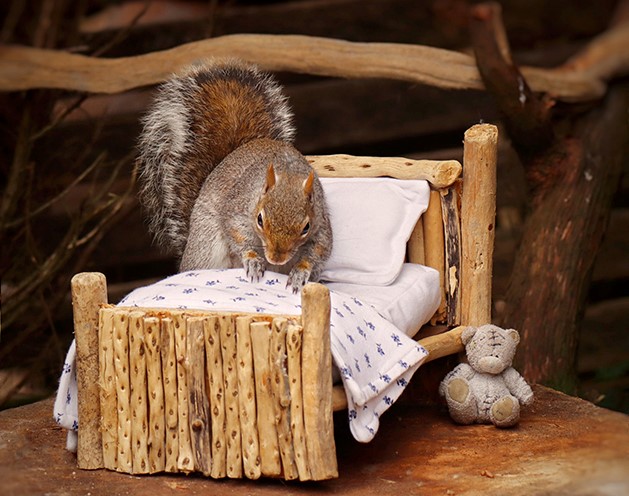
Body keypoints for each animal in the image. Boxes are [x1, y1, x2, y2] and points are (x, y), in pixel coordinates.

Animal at [135, 58, 332, 292]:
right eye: (259, 219)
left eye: (306, 228)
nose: (276, 258)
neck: (287, 174)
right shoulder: (237, 207)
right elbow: (236, 232)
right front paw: (252, 259)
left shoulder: (321, 223)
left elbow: (319, 250)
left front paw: (301, 272)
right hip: (207, 244)